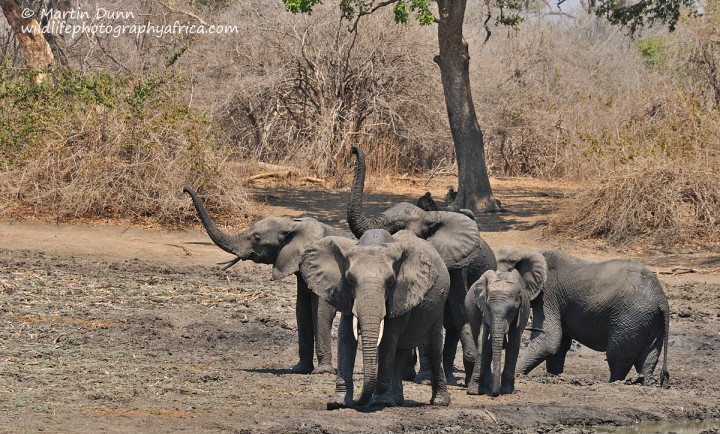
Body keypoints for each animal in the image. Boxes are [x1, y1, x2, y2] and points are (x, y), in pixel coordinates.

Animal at [186, 188, 354, 374]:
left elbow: (321, 311)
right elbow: (302, 310)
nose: (185, 189)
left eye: (257, 238)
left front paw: (322, 372)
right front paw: (299, 369)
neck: (293, 225)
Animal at [300, 229, 452, 408]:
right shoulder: (345, 295)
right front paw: (338, 402)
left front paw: (379, 402)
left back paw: (439, 402)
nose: (358, 402)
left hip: (439, 306)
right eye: (350, 280)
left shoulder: (398, 295)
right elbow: (346, 336)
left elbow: (387, 339)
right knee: (399, 352)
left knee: (433, 349)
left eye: (390, 281)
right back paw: (397, 401)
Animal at [348, 146, 496, 384]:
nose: (353, 149)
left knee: (453, 320)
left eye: (396, 228)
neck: (429, 217)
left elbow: (459, 307)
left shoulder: (457, 265)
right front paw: (420, 376)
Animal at [464, 246, 548, 396]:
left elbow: (514, 341)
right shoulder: (483, 308)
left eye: (512, 311)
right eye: (488, 308)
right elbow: (483, 340)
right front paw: (474, 391)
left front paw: (507, 390)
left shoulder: (521, 311)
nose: (495, 393)